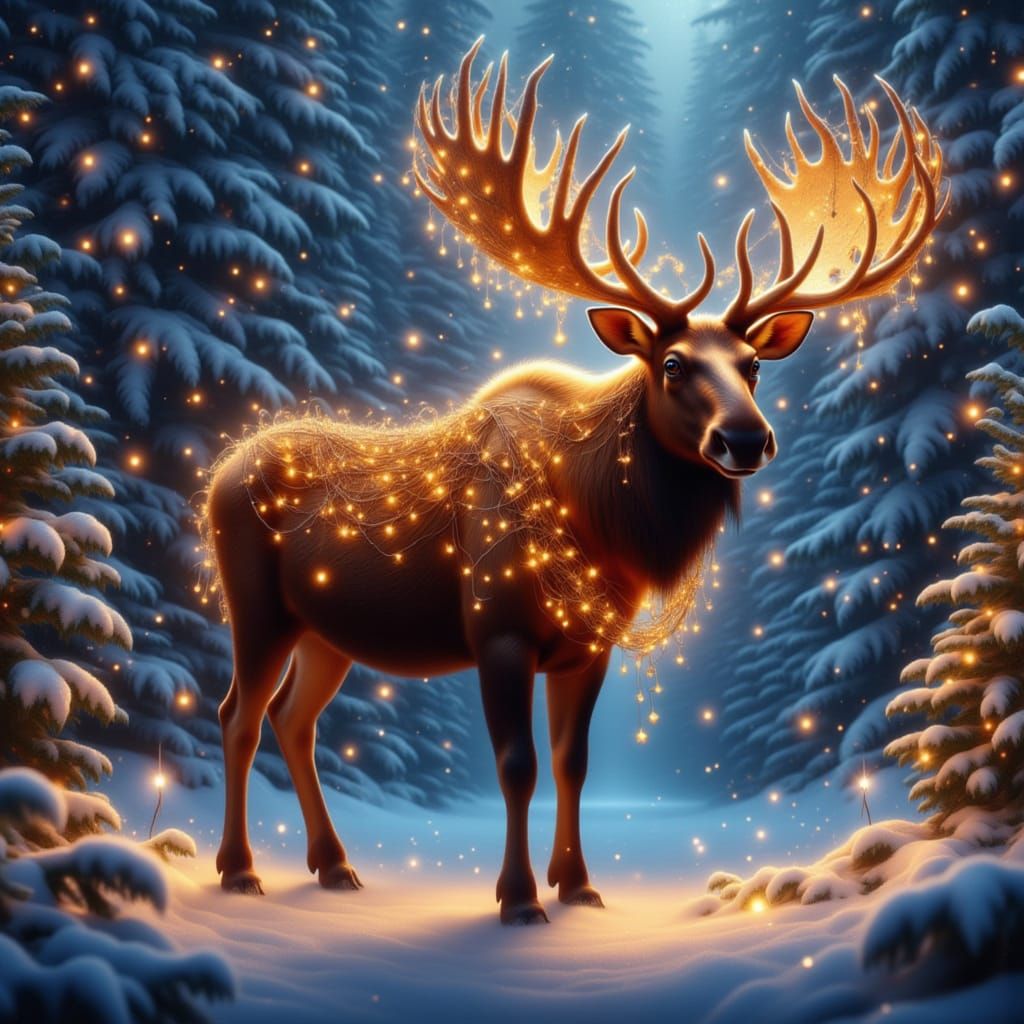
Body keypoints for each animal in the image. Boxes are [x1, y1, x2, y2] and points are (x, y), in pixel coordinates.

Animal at [205, 38, 945, 924]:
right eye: (671, 363)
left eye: (755, 365)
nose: (745, 439)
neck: (603, 520)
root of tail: (216, 474)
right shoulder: (498, 629)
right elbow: (517, 764)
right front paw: (519, 897)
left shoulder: (589, 644)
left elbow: (572, 761)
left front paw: (579, 884)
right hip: (257, 605)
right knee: (238, 715)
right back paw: (239, 868)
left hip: (328, 631)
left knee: (295, 720)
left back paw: (331, 863)